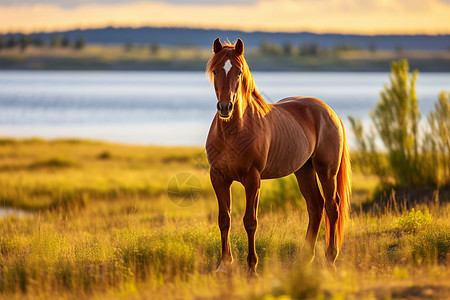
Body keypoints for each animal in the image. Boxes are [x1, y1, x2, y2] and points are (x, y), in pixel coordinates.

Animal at [205, 37, 352, 276]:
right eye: (216, 70)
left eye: (238, 71)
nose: (225, 107)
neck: (233, 132)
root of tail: (330, 112)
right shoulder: (218, 178)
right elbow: (224, 220)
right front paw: (224, 265)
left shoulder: (252, 179)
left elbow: (250, 221)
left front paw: (252, 268)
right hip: (304, 171)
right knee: (315, 206)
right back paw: (304, 259)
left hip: (326, 171)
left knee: (332, 207)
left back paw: (330, 259)